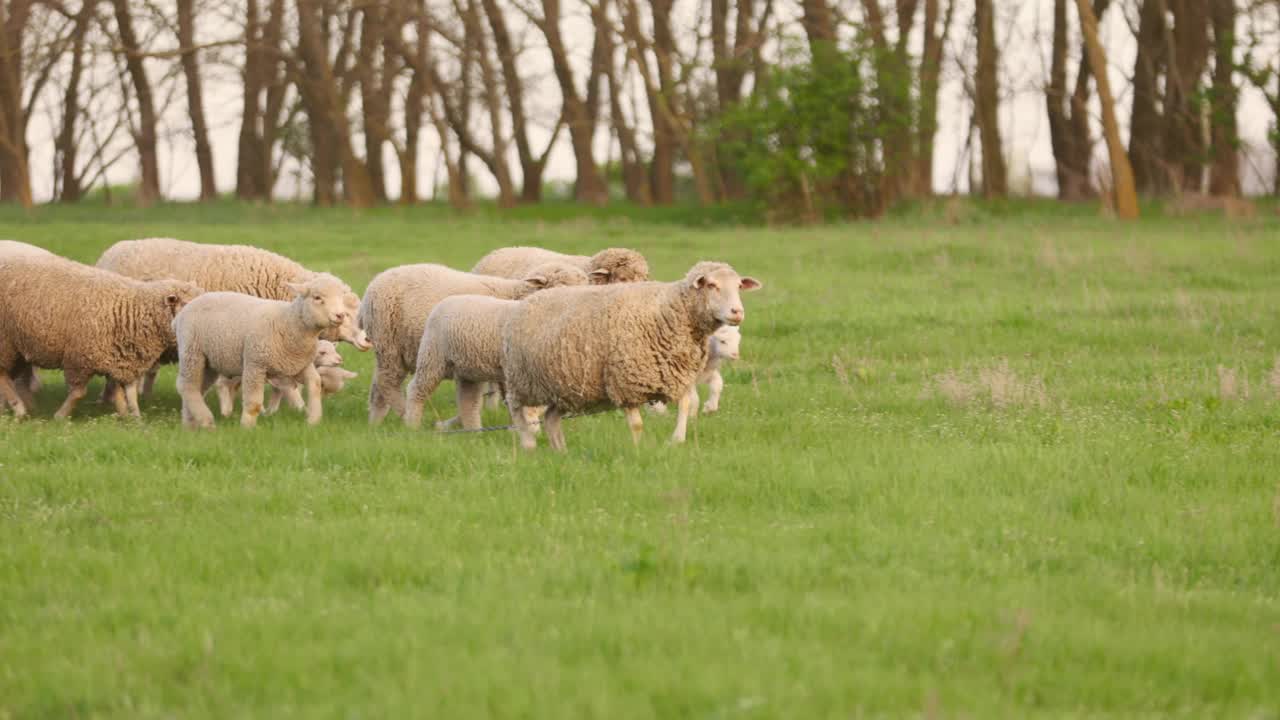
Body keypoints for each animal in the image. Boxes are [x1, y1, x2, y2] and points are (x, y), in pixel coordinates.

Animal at [0, 254, 203, 417]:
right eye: (186, 305)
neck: (130, 310)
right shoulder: (79, 359)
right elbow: (79, 393)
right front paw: (60, 415)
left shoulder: (122, 360)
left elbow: (126, 393)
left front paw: (133, 419)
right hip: (6, 344)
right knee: (3, 375)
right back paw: (19, 408)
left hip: (18, 350)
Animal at [168, 269, 355, 425]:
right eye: (317, 298)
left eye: (341, 297)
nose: (340, 315)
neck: (287, 323)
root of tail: (179, 316)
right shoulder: (255, 364)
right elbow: (254, 403)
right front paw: (247, 427)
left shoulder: (301, 364)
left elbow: (315, 385)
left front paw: (313, 420)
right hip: (192, 351)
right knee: (187, 386)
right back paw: (205, 420)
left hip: (210, 361)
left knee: (198, 387)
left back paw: (190, 423)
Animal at [358, 260, 591, 422]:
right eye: (560, 288)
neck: (516, 296)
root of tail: (373, 285)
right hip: (389, 341)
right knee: (388, 382)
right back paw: (403, 414)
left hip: (391, 349)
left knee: (378, 386)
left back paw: (375, 423)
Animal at [499, 257, 757, 448]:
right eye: (712, 285)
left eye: (739, 286)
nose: (737, 312)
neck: (670, 311)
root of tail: (532, 298)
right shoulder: (626, 381)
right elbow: (637, 424)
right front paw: (638, 450)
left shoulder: (677, 375)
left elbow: (686, 405)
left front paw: (677, 439)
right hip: (521, 379)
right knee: (516, 410)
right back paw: (528, 444)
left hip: (562, 385)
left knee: (552, 418)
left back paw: (560, 451)